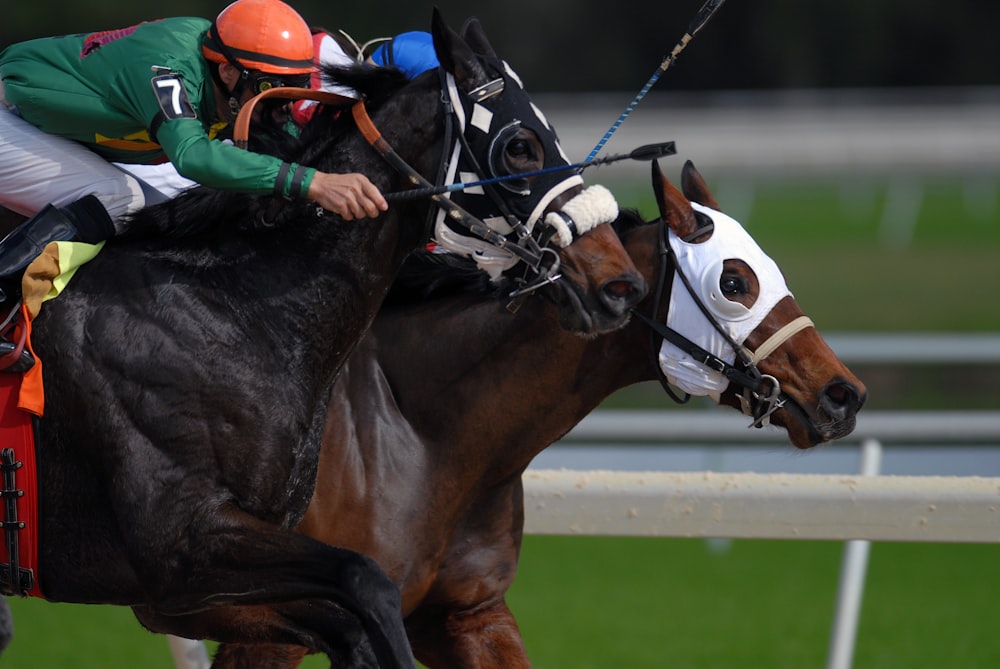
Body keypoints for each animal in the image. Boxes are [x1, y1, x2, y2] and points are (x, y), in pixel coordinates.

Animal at [1, 11, 648, 668]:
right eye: (519, 145)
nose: (618, 285)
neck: (232, 310)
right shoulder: (180, 549)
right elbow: (367, 581)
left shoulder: (208, 583)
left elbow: (353, 621)